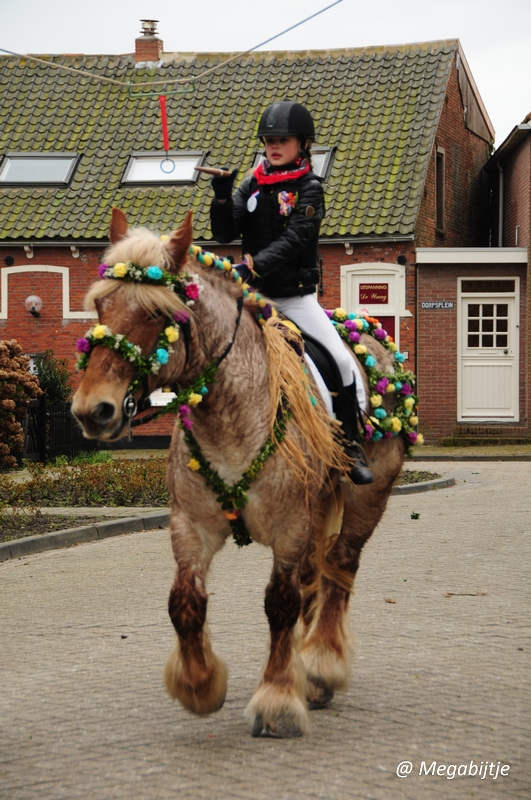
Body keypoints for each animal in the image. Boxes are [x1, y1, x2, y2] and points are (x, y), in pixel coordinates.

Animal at [71, 208, 408, 736]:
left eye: (159, 314)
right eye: (101, 308)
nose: (93, 410)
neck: (230, 415)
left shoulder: (291, 527)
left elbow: (280, 603)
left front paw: (277, 699)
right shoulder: (191, 524)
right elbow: (184, 602)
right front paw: (200, 684)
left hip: (364, 499)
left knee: (339, 569)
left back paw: (321, 666)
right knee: (316, 577)